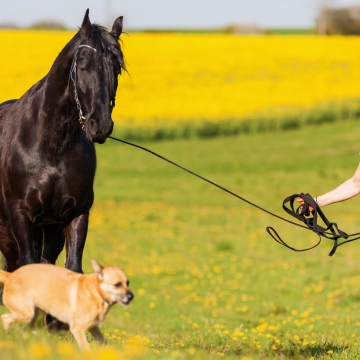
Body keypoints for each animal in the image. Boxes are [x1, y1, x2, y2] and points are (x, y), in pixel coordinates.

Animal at [0, 9, 125, 276]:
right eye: (83, 66)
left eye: (117, 68)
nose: (100, 125)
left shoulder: (75, 214)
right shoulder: (19, 215)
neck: (51, 147)